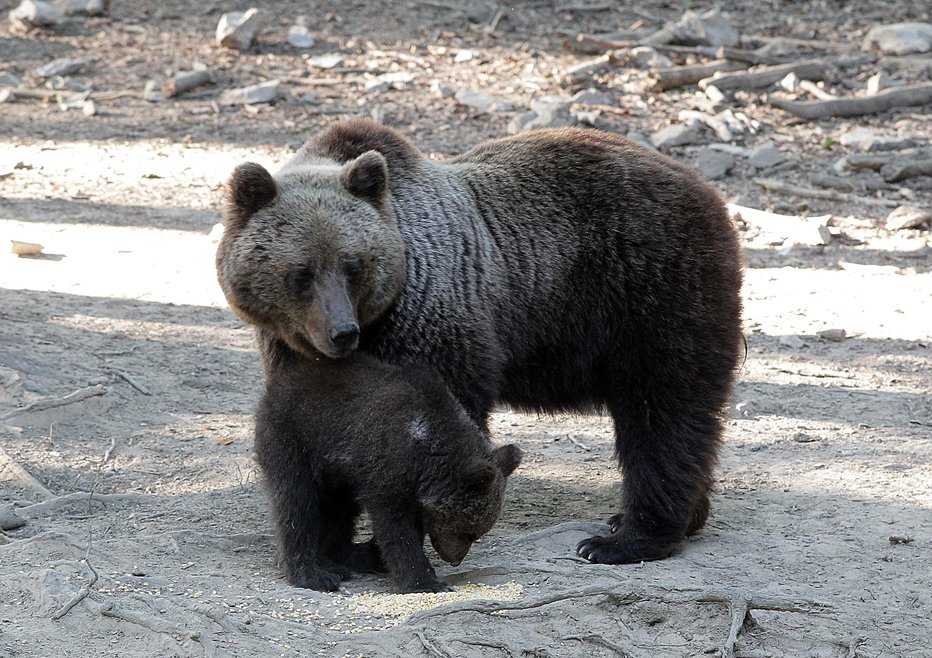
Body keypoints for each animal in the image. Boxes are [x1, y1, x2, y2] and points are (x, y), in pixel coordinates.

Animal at [217, 119, 744, 564]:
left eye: (353, 264)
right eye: (302, 272)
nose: (342, 332)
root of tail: (706, 191)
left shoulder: (433, 322)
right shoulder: (294, 352)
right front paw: (335, 541)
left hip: (652, 292)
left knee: (662, 412)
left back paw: (622, 538)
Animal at [253, 340, 524, 592]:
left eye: (477, 533)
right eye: (468, 531)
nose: (455, 559)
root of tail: (281, 381)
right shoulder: (387, 468)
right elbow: (395, 527)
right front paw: (424, 580)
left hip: (337, 471)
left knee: (340, 509)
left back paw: (343, 559)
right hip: (293, 439)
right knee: (297, 503)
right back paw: (314, 573)